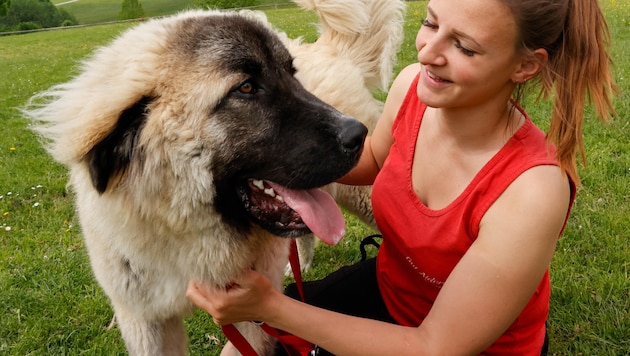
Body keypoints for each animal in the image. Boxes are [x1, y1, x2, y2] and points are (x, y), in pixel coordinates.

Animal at [23, 1, 404, 354]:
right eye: (246, 88)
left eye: (291, 74)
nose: (357, 134)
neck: (183, 232)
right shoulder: (144, 319)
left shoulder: (255, 313)